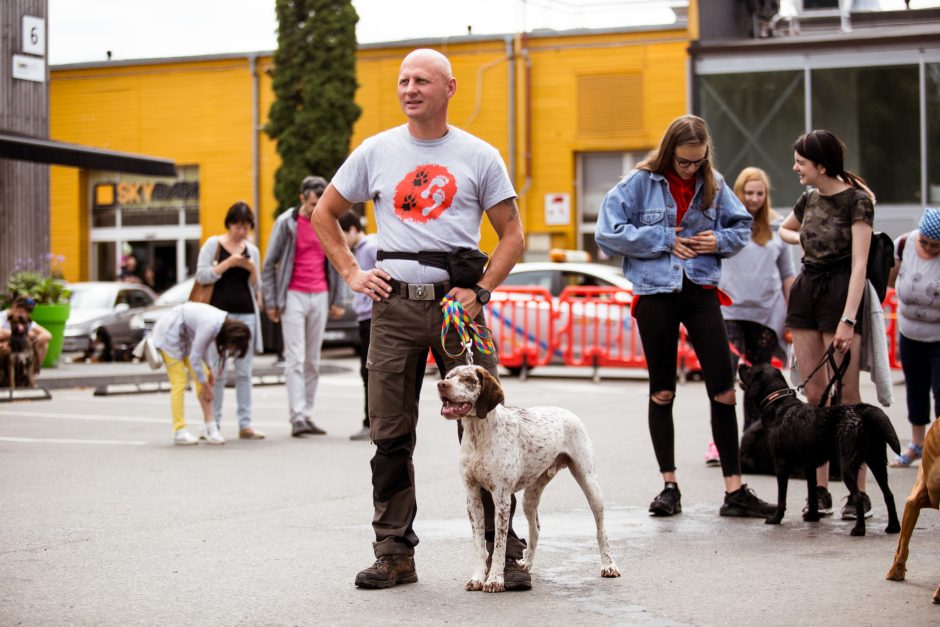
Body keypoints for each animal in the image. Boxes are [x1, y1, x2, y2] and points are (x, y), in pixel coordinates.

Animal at [436, 366, 620, 592]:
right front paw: (478, 578)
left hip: (590, 486)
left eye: (468, 379)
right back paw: (526, 565)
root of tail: (568, 413)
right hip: (530, 498)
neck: (478, 435)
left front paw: (495, 579)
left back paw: (609, 565)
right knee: (535, 531)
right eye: (448, 377)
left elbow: (499, 544)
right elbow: (479, 545)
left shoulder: (502, 498)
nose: (441, 385)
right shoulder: (473, 498)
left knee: (601, 530)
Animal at [740, 364, 900, 536]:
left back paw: (859, 529)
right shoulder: (809, 466)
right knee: (888, 494)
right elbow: (812, 496)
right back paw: (893, 527)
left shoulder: (781, 463)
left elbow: (781, 497)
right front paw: (812, 517)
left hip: (848, 465)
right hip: (877, 461)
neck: (778, 404)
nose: (741, 365)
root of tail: (862, 412)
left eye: (750, 370)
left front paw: (776, 518)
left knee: (857, 496)